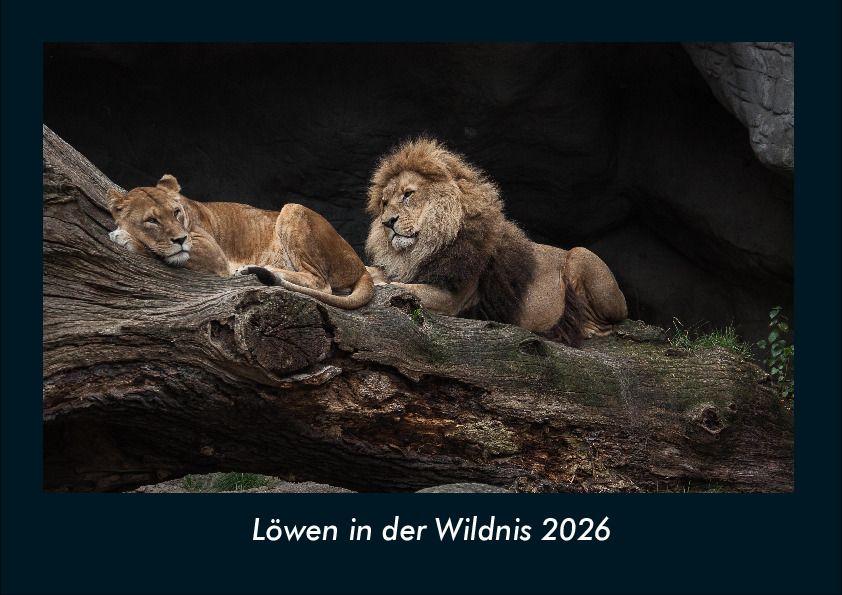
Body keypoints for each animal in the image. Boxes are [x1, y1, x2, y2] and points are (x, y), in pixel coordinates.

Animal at [107, 174, 374, 309]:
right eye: (152, 220)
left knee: (321, 283)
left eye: (176, 212)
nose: (181, 238)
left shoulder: (214, 254)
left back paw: (253, 269)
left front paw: (124, 236)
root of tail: (360, 264)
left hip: (293, 208)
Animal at [364, 138, 628, 345]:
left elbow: (405, 288)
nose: (387, 222)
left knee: (611, 322)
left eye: (408, 194)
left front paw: (384, 285)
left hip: (580, 254)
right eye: (384, 203)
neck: (422, 248)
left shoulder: (453, 299)